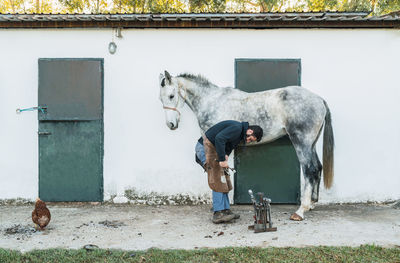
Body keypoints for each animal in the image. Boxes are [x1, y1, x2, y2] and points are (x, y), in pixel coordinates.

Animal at [158, 70, 332, 223]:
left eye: (171, 96)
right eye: (161, 98)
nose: (171, 124)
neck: (211, 101)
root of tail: (319, 99)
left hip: (302, 142)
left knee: (309, 170)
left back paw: (300, 211)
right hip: (311, 143)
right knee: (317, 167)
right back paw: (312, 204)